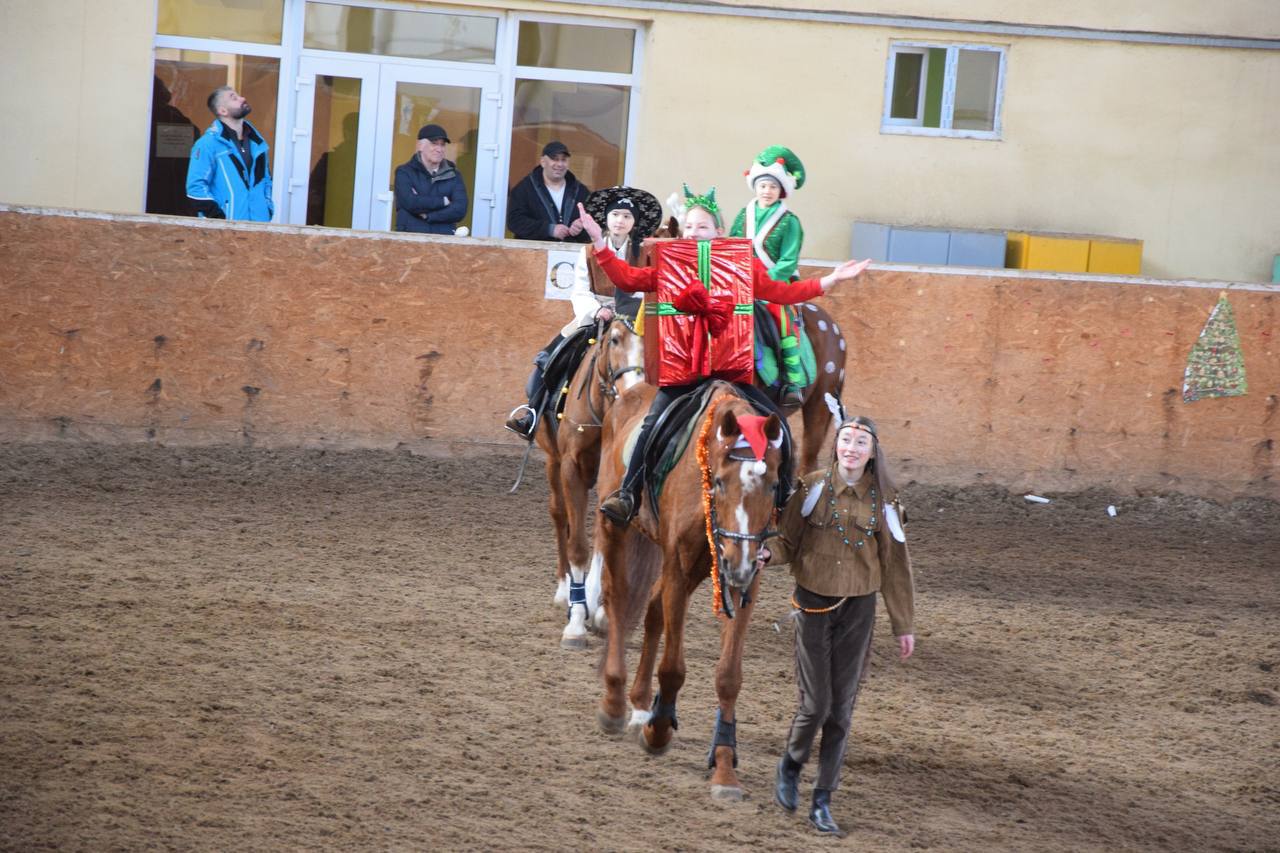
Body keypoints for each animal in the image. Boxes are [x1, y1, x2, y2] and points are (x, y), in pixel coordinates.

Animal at [535, 313, 645, 645]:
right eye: (615, 340)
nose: (633, 390)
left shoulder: (616, 481)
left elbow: (602, 540)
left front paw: (600, 612)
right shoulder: (571, 469)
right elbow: (578, 547)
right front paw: (576, 622)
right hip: (553, 460)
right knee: (560, 516)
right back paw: (564, 592)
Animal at [593, 379, 783, 799]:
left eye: (774, 485)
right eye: (720, 482)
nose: (738, 560)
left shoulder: (744, 576)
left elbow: (729, 675)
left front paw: (725, 767)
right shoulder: (678, 564)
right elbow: (673, 668)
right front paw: (659, 731)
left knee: (652, 611)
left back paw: (640, 705)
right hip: (616, 528)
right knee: (618, 601)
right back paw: (615, 702)